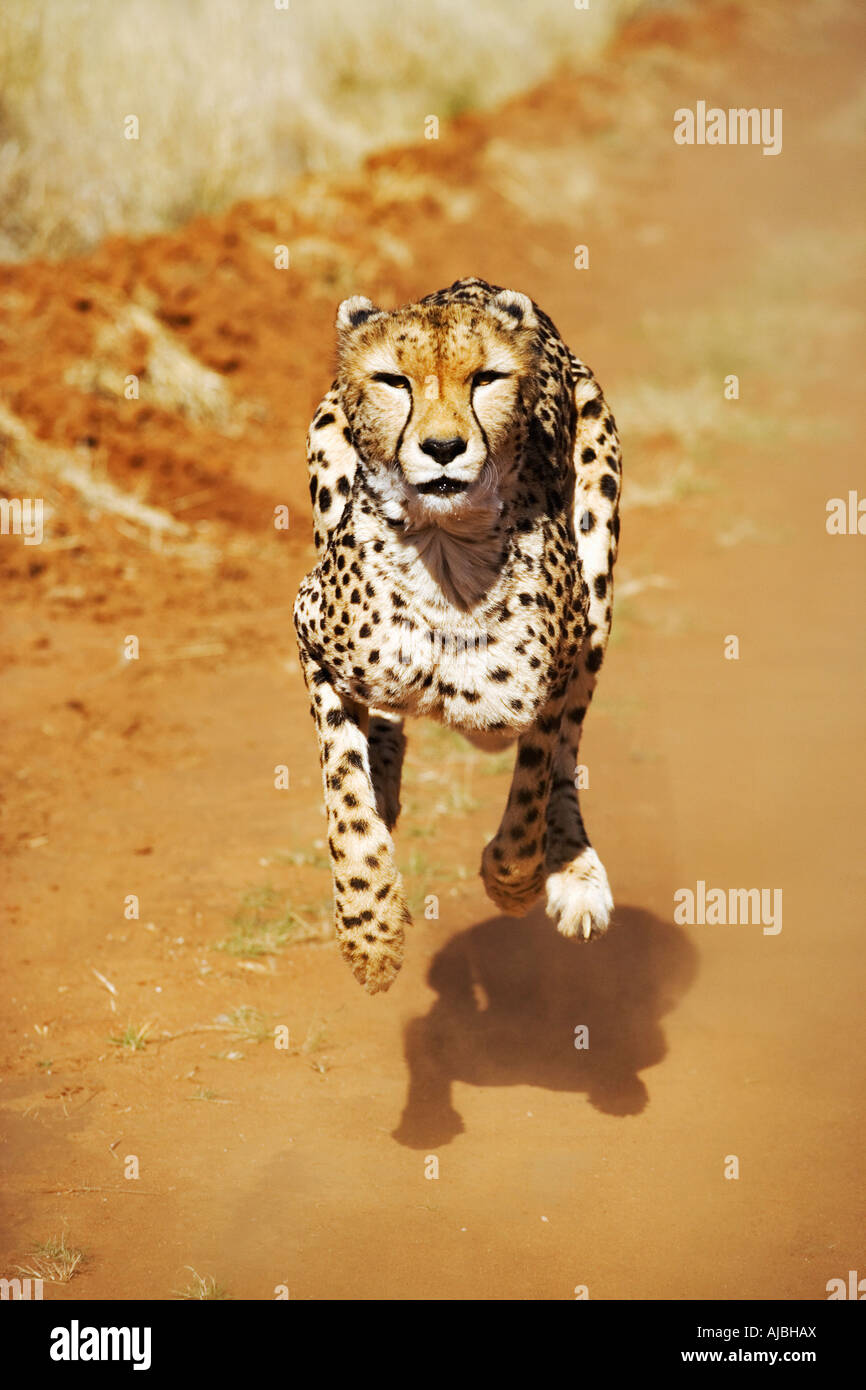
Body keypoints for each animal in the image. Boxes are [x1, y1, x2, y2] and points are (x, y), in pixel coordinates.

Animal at [294, 276, 619, 995]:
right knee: (382, 725)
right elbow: (343, 786)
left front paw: (513, 878)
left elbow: (532, 787)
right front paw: (370, 929)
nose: (443, 448)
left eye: (486, 379)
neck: (447, 550)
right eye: (393, 381)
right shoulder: (311, 634)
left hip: (599, 577)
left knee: (568, 750)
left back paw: (575, 871)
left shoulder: (552, 676)